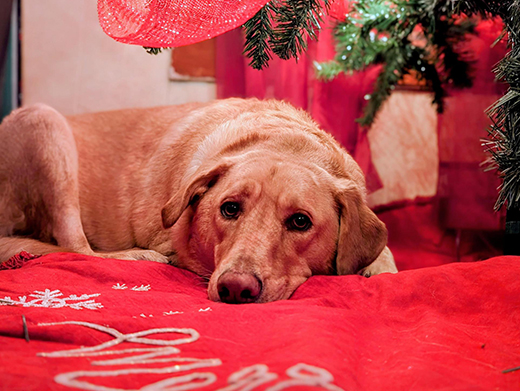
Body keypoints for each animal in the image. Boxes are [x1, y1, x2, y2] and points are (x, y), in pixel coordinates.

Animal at [1, 98, 398, 304]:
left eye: (300, 221)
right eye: (230, 208)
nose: (236, 288)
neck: (284, 141)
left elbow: (385, 253)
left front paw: (377, 269)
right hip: (43, 120)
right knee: (76, 247)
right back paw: (138, 256)